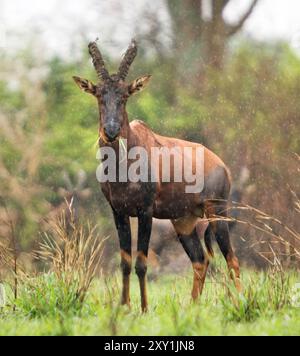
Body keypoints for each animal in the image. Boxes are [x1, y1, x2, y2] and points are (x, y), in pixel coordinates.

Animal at [74, 39, 243, 312]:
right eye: (99, 94)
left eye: (125, 95)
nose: (110, 131)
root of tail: (222, 165)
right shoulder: (118, 212)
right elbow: (125, 262)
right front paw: (125, 306)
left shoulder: (145, 211)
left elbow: (142, 262)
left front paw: (143, 308)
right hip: (184, 222)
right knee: (200, 261)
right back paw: (192, 306)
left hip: (218, 212)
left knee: (232, 260)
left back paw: (240, 302)